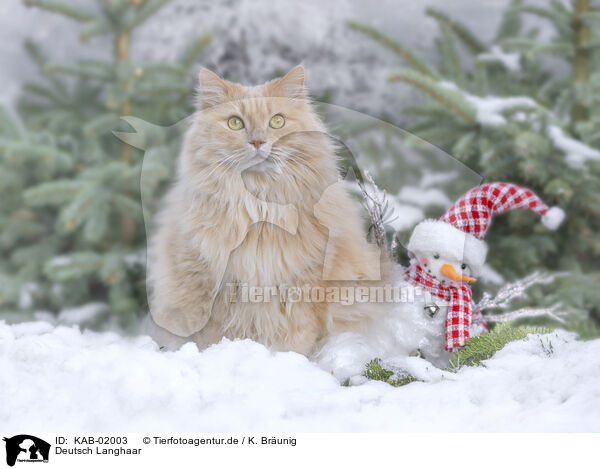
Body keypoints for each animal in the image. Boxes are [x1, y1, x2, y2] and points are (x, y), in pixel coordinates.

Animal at [148, 64, 386, 352]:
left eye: (277, 121)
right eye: (235, 123)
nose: (258, 142)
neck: (259, 208)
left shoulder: (305, 284)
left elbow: (298, 336)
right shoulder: (209, 282)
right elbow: (215, 334)